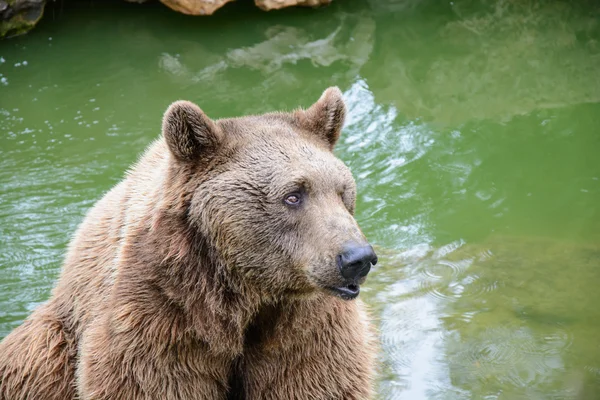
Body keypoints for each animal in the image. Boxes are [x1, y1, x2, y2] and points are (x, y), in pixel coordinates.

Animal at [0, 87, 376, 400]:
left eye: (343, 191)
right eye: (293, 195)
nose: (357, 257)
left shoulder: (306, 325)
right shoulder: (160, 314)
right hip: (52, 347)